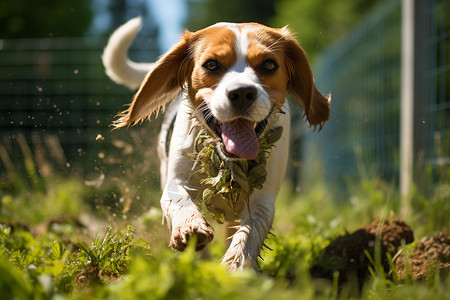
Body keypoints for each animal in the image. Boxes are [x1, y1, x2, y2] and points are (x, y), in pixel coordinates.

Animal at [104, 17, 330, 270]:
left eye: (269, 65)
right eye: (211, 65)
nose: (242, 92)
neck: (228, 162)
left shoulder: (263, 200)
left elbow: (248, 235)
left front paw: (236, 266)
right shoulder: (175, 181)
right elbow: (181, 201)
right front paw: (190, 228)